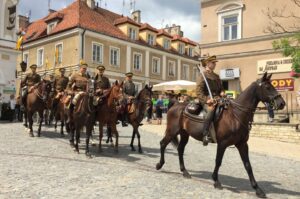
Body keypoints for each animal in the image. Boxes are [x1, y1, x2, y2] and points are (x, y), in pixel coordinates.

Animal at [156, 72, 284, 198]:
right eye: (267, 87)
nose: (282, 103)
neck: (236, 115)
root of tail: (176, 104)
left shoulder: (242, 144)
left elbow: (248, 165)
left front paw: (258, 189)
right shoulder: (222, 143)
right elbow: (218, 161)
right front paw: (216, 181)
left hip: (184, 134)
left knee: (180, 149)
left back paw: (185, 172)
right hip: (172, 131)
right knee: (163, 144)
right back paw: (159, 165)